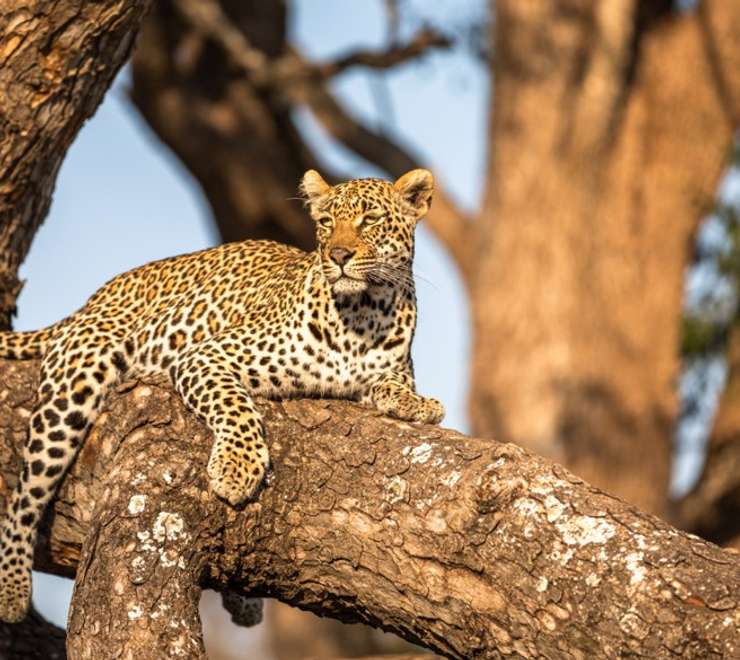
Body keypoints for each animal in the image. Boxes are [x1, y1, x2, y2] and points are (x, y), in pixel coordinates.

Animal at [0, 168, 444, 623]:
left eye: (369, 220)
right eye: (325, 223)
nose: (337, 255)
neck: (363, 313)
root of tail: (95, 298)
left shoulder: (390, 369)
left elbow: (393, 385)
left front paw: (418, 404)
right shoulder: (204, 355)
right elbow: (236, 406)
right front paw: (236, 467)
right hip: (74, 388)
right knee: (24, 497)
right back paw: (12, 589)